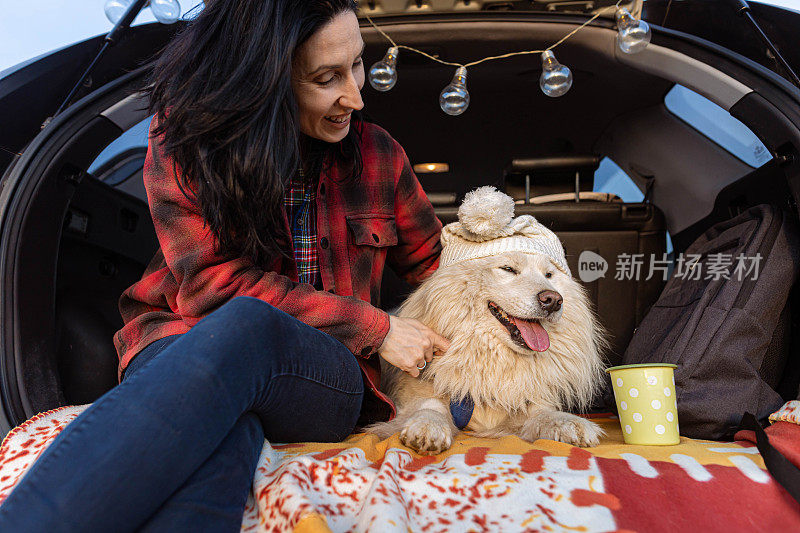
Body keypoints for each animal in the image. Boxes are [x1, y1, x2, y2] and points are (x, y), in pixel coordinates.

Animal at [368, 186, 608, 454]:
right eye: (508, 269)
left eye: (549, 275)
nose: (553, 299)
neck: (491, 357)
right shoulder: (416, 397)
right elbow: (430, 406)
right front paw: (427, 427)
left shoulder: (524, 404)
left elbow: (545, 414)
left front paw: (572, 425)